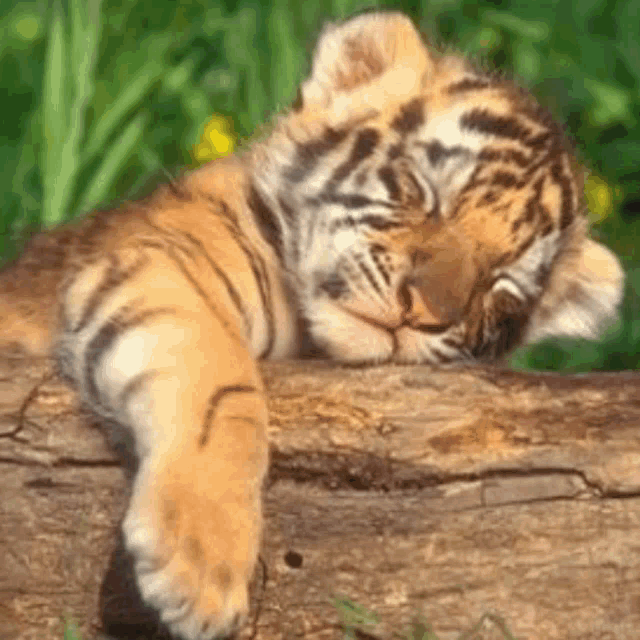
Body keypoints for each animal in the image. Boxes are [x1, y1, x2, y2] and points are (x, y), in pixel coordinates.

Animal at [0, 11, 624, 640]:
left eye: (502, 285)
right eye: (421, 192)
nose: (421, 312)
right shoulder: (156, 266)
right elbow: (222, 389)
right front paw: (199, 568)